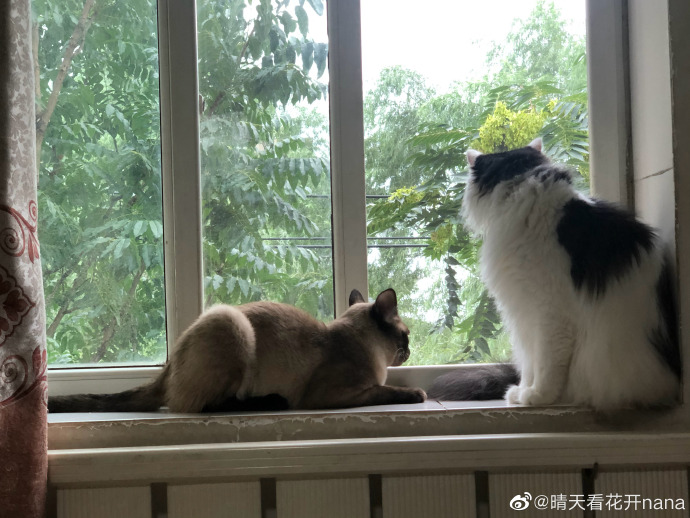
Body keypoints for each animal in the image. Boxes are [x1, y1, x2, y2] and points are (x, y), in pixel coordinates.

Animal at [49, 288, 427, 413]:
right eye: (406, 336)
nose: (410, 351)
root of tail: (167, 368)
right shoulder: (331, 395)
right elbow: (384, 390)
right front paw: (417, 393)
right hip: (233, 324)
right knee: (206, 406)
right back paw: (272, 402)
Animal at [428, 138, 680, 410]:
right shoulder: (524, 313)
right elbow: (529, 361)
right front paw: (522, 391)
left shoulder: (549, 310)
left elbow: (545, 362)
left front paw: (537, 396)